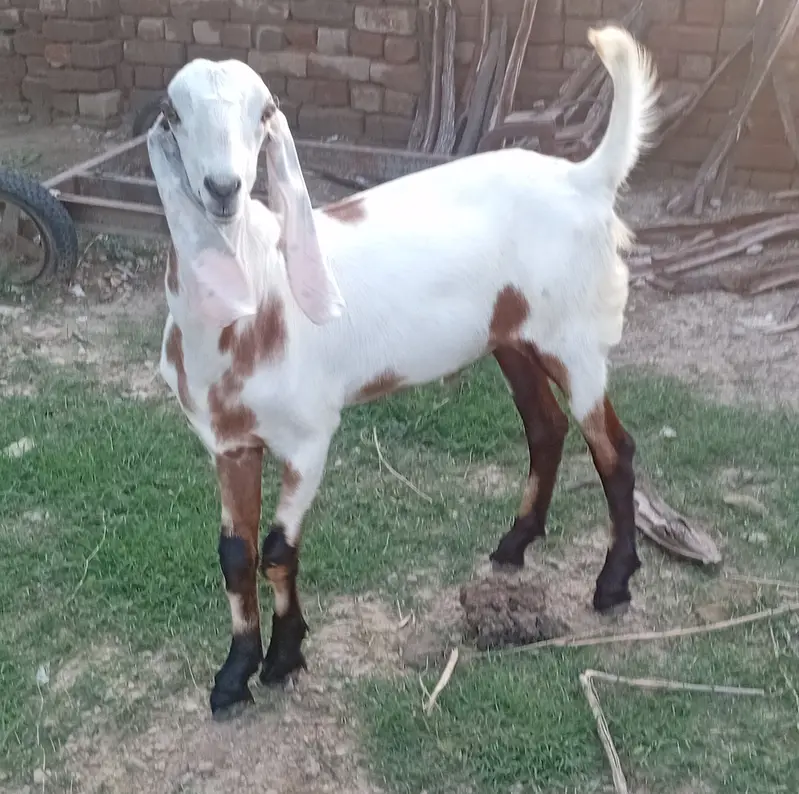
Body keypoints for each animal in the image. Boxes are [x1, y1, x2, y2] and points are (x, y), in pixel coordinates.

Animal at [149, 24, 660, 716]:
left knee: (612, 446)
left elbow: (279, 551)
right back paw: (514, 546)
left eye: (264, 112)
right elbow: (235, 554)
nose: (224, 188)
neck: (257, 291)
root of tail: (586, 178)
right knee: (546, 427)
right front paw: (233, 676)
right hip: (510, 337)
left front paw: (284, 659)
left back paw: (612, 585)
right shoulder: (229, 443)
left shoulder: (310, 436)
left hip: (574, 337)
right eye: (173, 113)